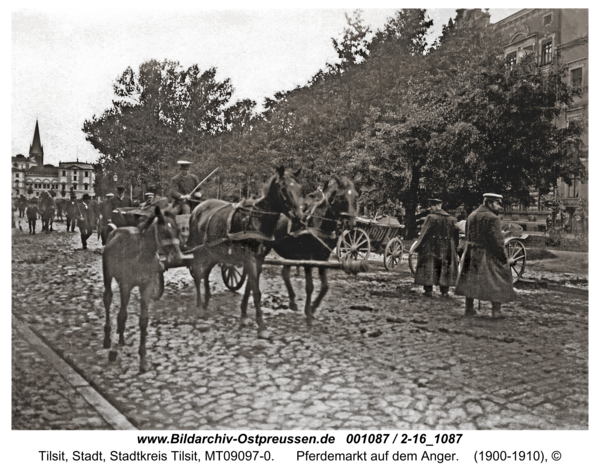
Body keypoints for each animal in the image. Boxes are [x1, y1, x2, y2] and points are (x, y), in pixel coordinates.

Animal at [101, 205, 183, 370]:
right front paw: (113, 351)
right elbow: (122, 315)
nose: (178, 258)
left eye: (178, 230)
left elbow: (143, 320)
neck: (142, 255)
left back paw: (121, 337)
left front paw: (143, 358)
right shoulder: (126, 285)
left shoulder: (147, 286)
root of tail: (115, 231)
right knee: (108, 299)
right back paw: (108, 338)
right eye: (164, 232)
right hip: (107, 274)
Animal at [186, 164, 304, 338]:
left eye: (299, 188)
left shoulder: (259, 258)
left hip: (214, 252)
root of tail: (197, 208)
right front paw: (261, 325)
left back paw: (206, 302)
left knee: (205, 273)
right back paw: (200, 305)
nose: (299, 218)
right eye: (283, 188)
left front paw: (243, 316)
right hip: (199, 251)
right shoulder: (250, 258)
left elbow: (249, 288)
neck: (257, 219)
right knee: (198, 275)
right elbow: (256, 291)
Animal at [274, 175, 360, 326]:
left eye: (356, 196)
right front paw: (308, 313)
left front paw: (313, 308)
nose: (351, 224)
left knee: (285, 273)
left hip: (290, 252)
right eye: (341, 197)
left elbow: (325, 286)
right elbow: (310, 286)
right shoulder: (308, 257)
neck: (321, 221)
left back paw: (292, 302)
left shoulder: (323, 256)